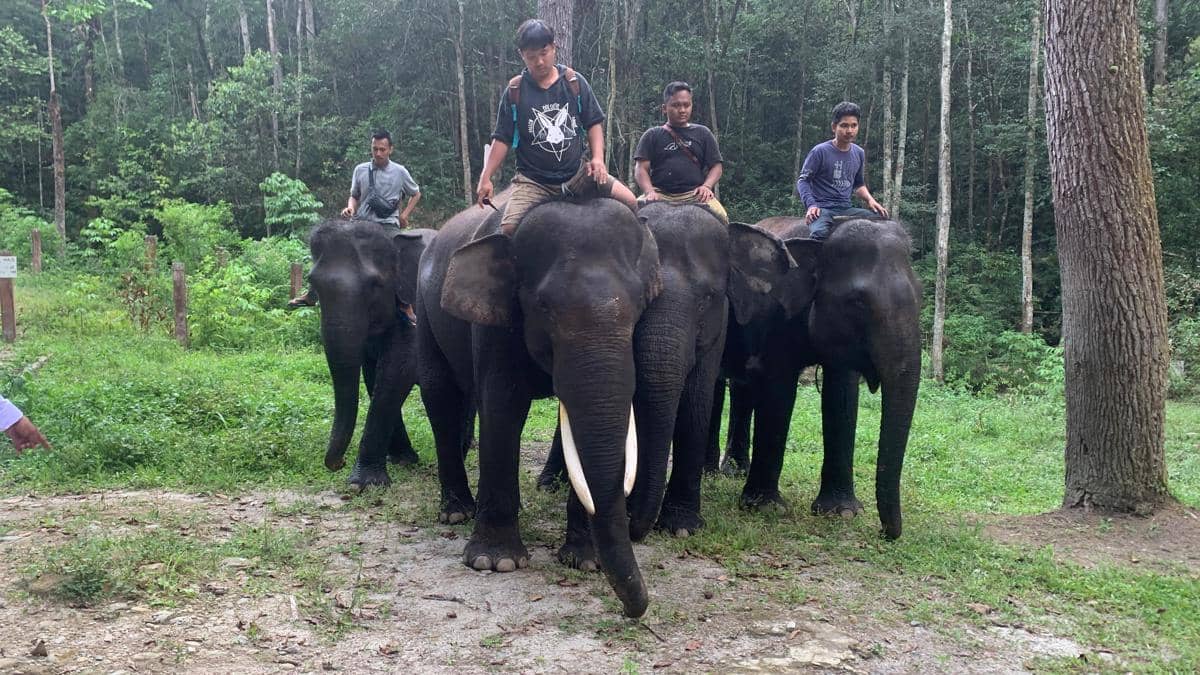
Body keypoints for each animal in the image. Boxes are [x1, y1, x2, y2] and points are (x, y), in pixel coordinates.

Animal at [307, 219, 435, 489]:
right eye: (314, 284)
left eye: (375, 285)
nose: (339, 463)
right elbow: (373, 375)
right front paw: (403, 460)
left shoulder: (415, 305)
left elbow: (397, 370)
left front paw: (363, 484)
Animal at [706, 216, 921, 540]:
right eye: (857, 302)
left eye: (921, 297)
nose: (886, 533)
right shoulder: (776, 314)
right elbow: (778, 389)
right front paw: (766, 509)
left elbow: (842, 395)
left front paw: (842, 512)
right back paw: (710, 473)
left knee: (742, 389)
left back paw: (734, 471)